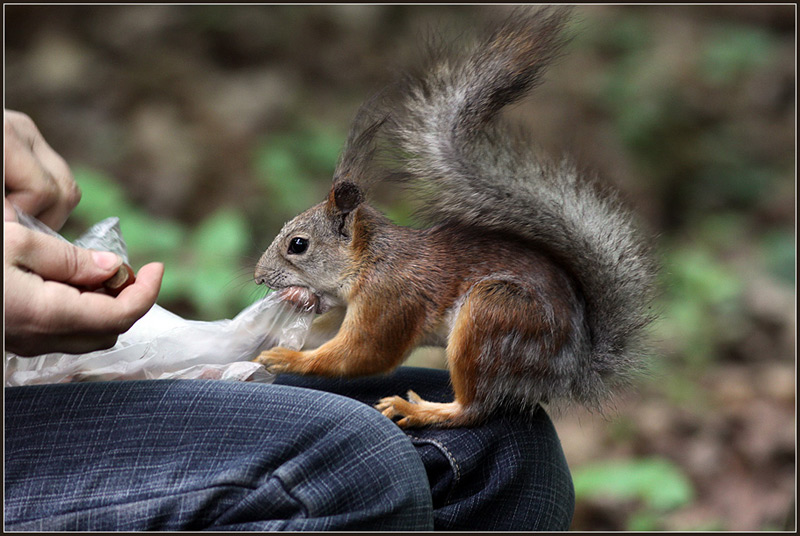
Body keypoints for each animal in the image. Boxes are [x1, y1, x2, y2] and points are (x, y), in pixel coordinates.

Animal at [253, 7, 652, 428]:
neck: (369, 260)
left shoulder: (392, 298)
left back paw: (419, 409)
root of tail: (569, 370)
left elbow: (364, 354)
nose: (259, 277)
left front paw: (285, 357)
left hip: (495, 317)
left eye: (298, 245)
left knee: (473, 408)